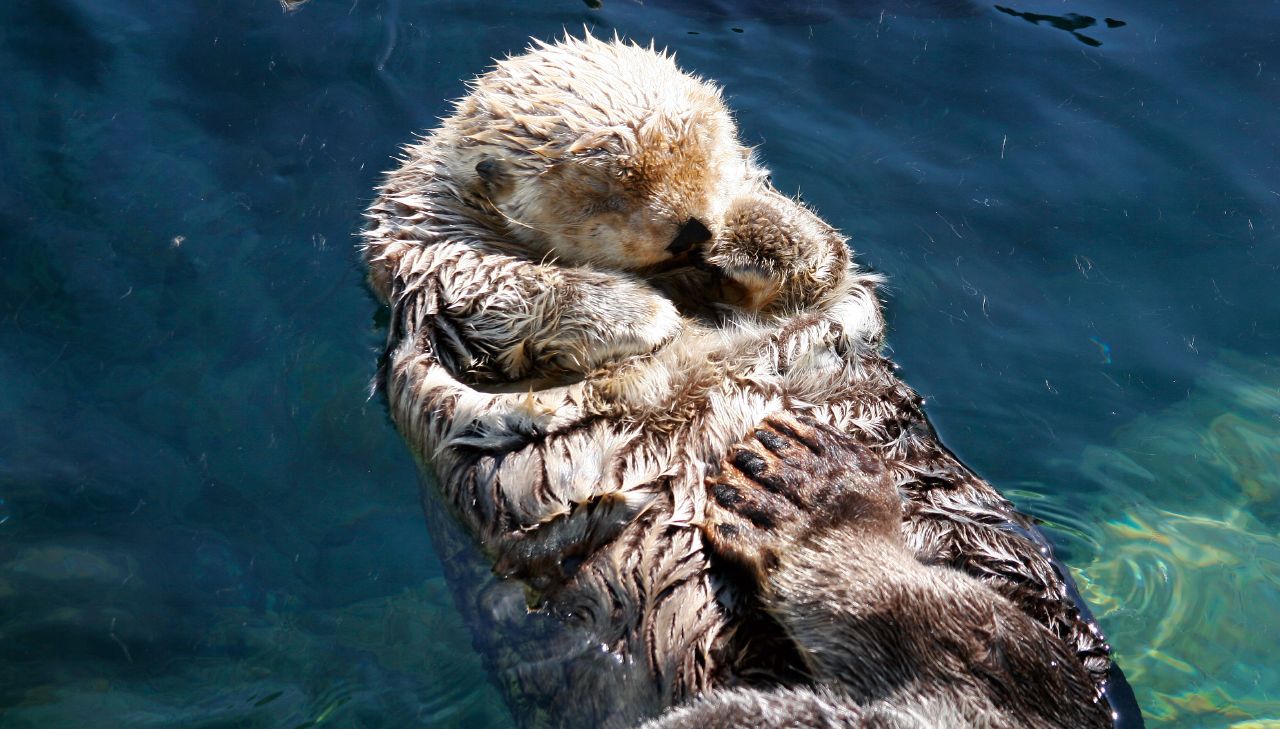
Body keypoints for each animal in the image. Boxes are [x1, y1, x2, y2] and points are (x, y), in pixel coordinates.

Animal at [362, 34, 1121, 728]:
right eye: (607, 192)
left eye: (708, 153)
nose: (694, 229)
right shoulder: (428, 258)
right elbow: (503, 288)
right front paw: (639, 314)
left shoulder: (820, 285)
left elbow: (823, 261)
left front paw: (747, 226)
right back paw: (812, 506)